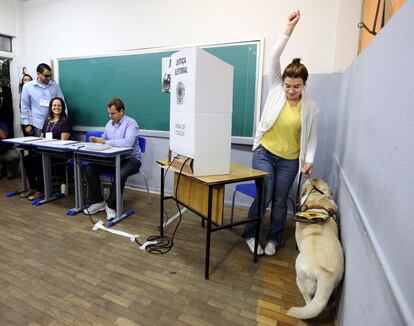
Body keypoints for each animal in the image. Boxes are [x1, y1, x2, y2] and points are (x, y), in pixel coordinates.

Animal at [288, 177, 342, 320]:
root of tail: (325, 274)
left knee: (308, 300)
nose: (312, 176)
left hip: (301, 278)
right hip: (336, 283)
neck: (317, 200)